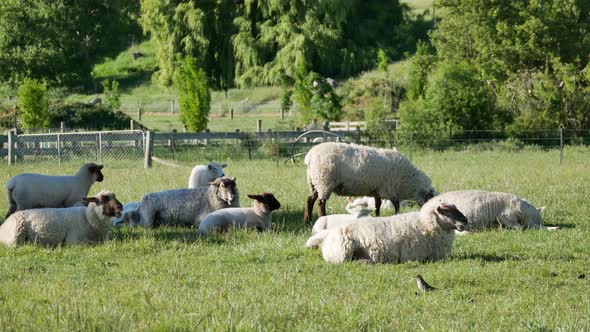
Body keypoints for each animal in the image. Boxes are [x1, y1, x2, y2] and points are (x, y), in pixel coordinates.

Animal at [306, 141, 440, 224]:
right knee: (320, 203)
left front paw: (377, 217)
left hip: (315, 183)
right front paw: (396, 215)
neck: (407, 180)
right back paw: (322, 218)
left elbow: (378, 205)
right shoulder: (389, 189)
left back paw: (307, 221)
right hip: (324, 182)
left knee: (310, 200)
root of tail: (310, 156)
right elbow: (396, 205)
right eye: (430, 199)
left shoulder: (377, 190)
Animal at [308, 201, 470, 264]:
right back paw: (366, 262)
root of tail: (327, 235)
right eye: (446, 210)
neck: (424, 223)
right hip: (343, 252)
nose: (465, 219)